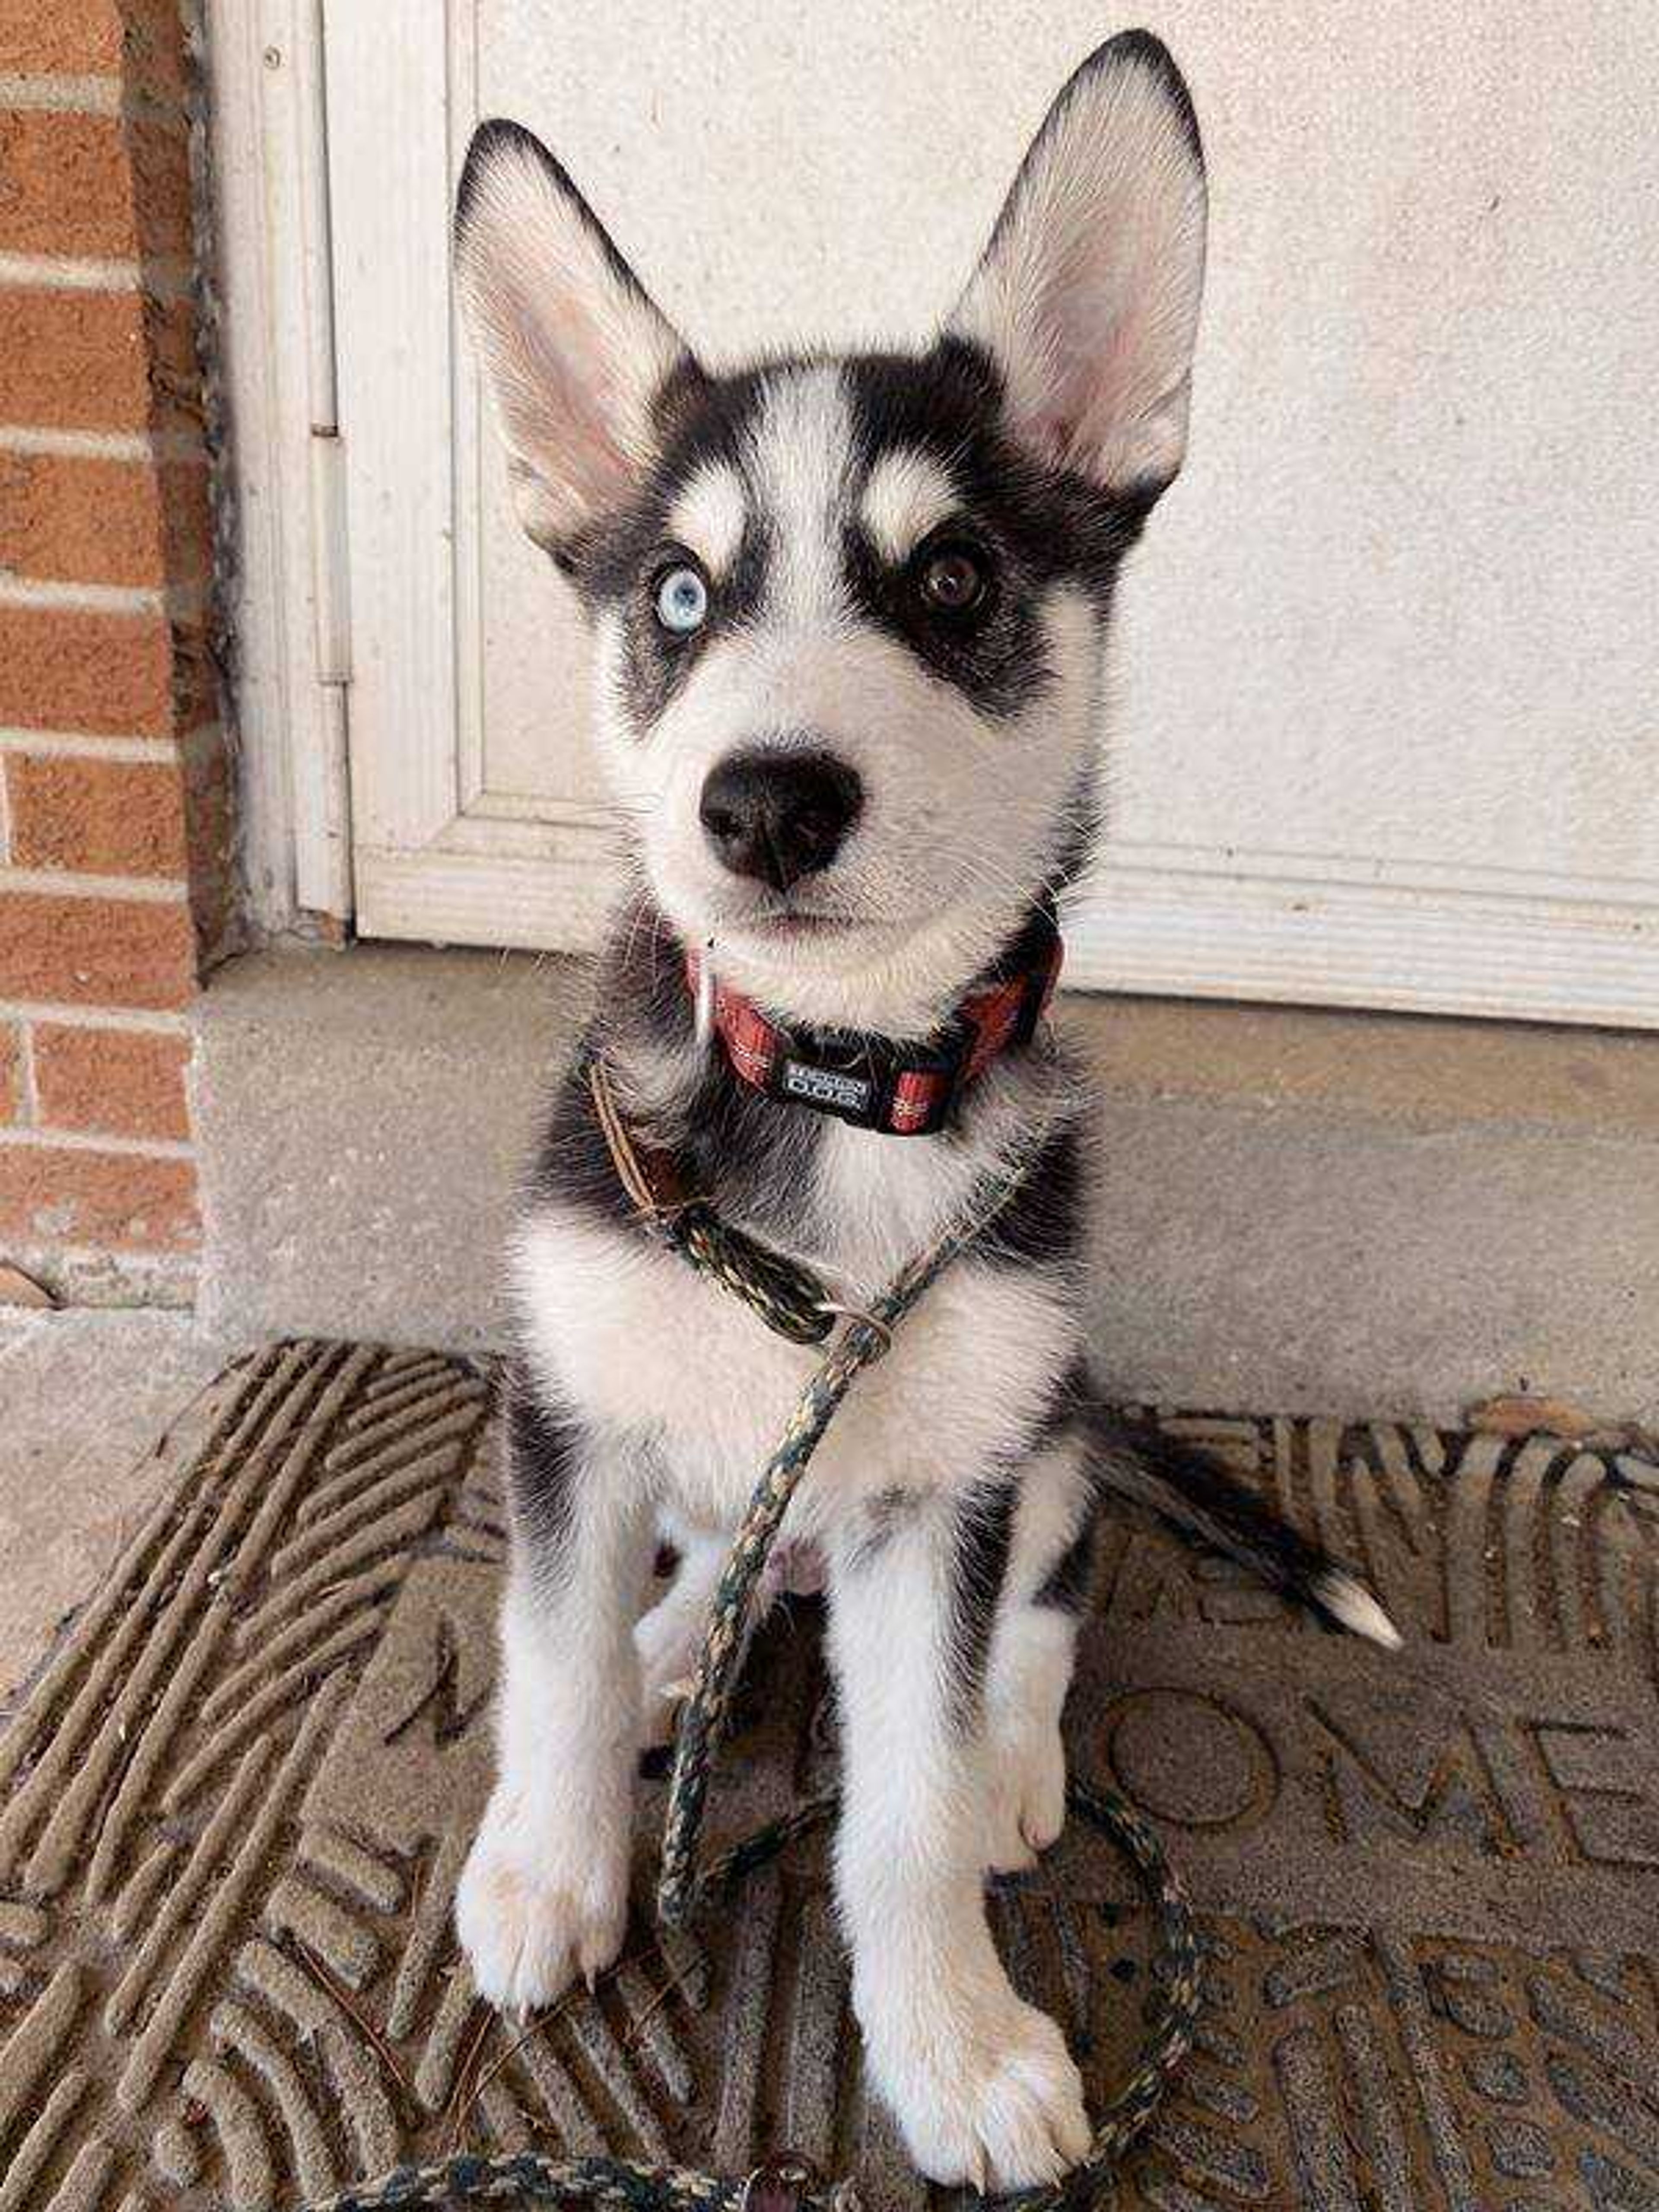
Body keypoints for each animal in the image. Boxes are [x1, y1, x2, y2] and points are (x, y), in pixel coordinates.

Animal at [449, 39, 1398, 2194]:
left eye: (953, 576)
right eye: (680, 593)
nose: (765, 803)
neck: (831, 1081)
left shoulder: (939, 1488)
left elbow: (899, 1805)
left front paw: (953, 2043)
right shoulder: (568, 1394)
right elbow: (547, 1653)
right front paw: (549, 1864)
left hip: (1034, 1416)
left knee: (1038, 1612)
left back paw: (1013, 1765)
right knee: (697, 1572)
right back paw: (673, 1654)